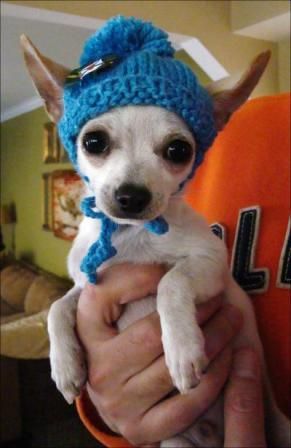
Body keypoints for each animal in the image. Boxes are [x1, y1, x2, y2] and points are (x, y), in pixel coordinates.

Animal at [21, 15, 290, 446]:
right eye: (93, 141)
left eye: (179, 150)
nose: (132, 195)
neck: (129, 236)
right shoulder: (86, 285)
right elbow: (57, 306)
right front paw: (64, 366)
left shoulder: (210, 265)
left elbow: (170, 282)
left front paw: (182, 350)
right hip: (174, 441)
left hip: (280, 425)